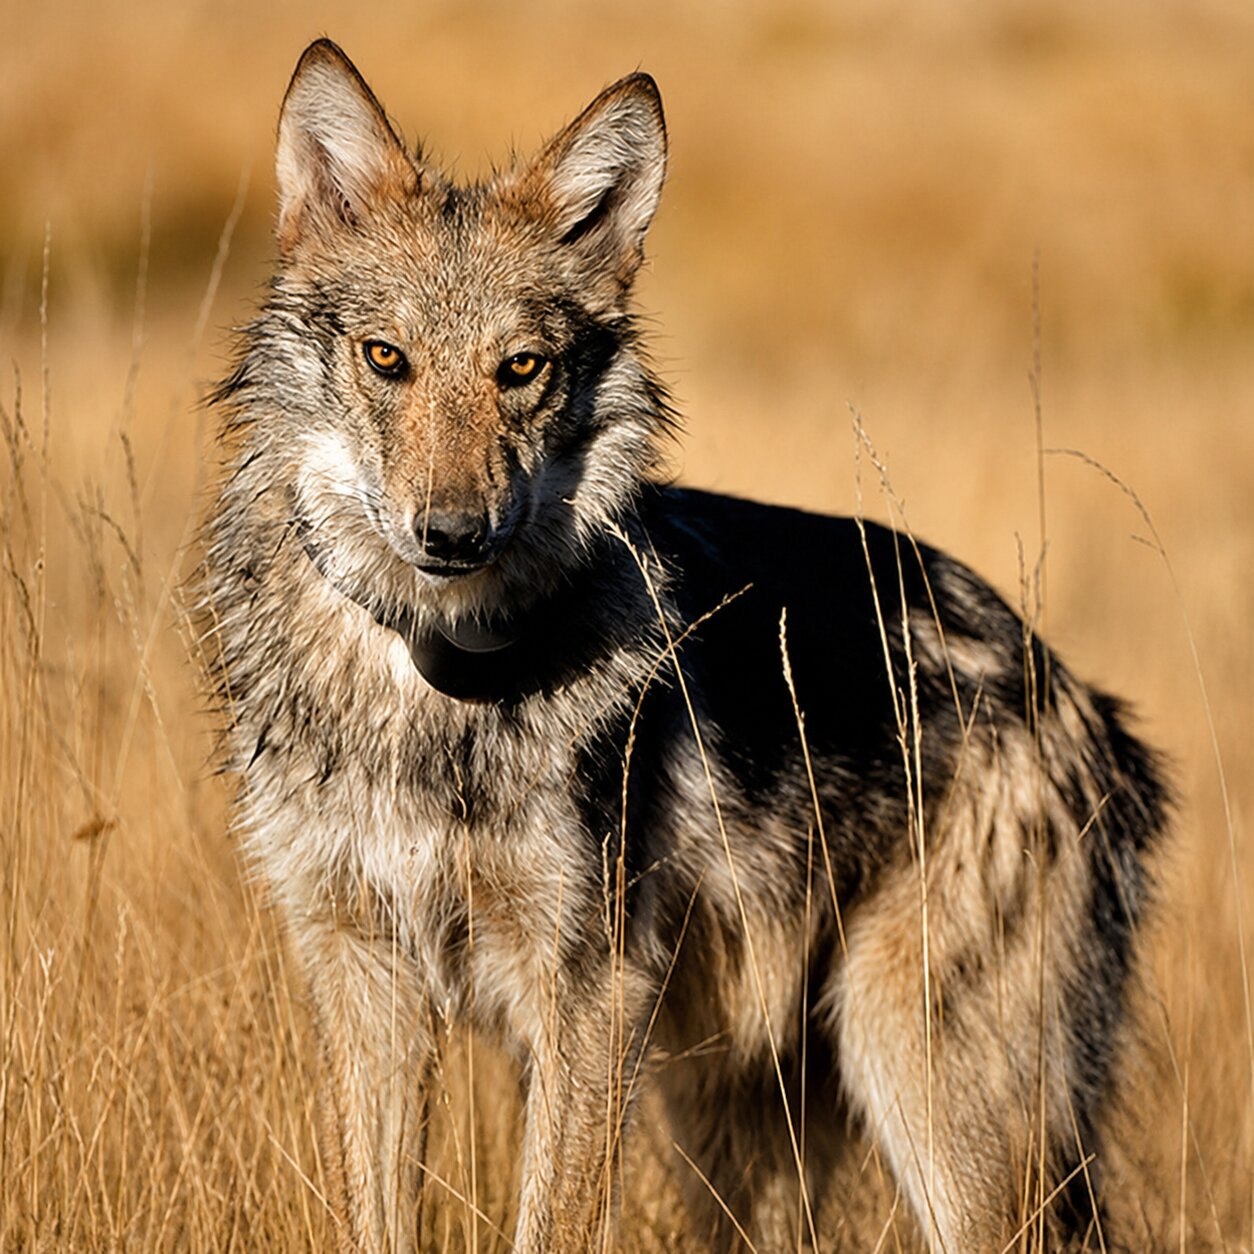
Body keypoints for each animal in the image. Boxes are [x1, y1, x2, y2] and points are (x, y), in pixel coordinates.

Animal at [201, 39, 1166, 1253]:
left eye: (521, 369)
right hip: (747, 1127)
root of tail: (1090, 710)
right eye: (387, 359)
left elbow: (552, 1226)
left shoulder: (591, 987)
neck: (435, 691)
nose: (453, 535)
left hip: (928, 1096)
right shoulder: (364, 975)